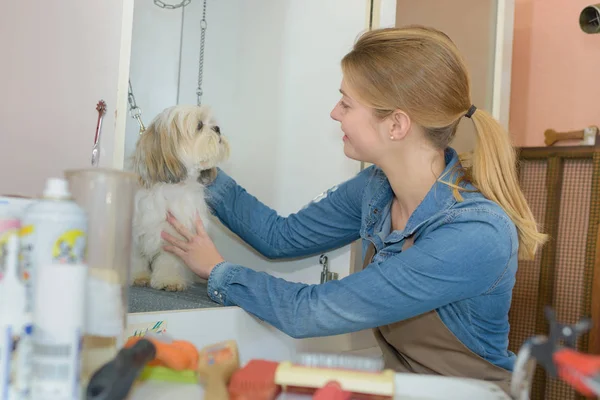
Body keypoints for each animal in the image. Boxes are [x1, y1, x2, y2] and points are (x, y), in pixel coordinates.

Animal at [129, 104, 230, 292]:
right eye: (199, 125)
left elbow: (169, 261)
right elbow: (135, 258)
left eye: (212, 123)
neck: (170, 189)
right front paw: (137, 277)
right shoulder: (135, 231)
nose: (218, 129)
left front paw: (169, 281)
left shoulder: (175, 235)